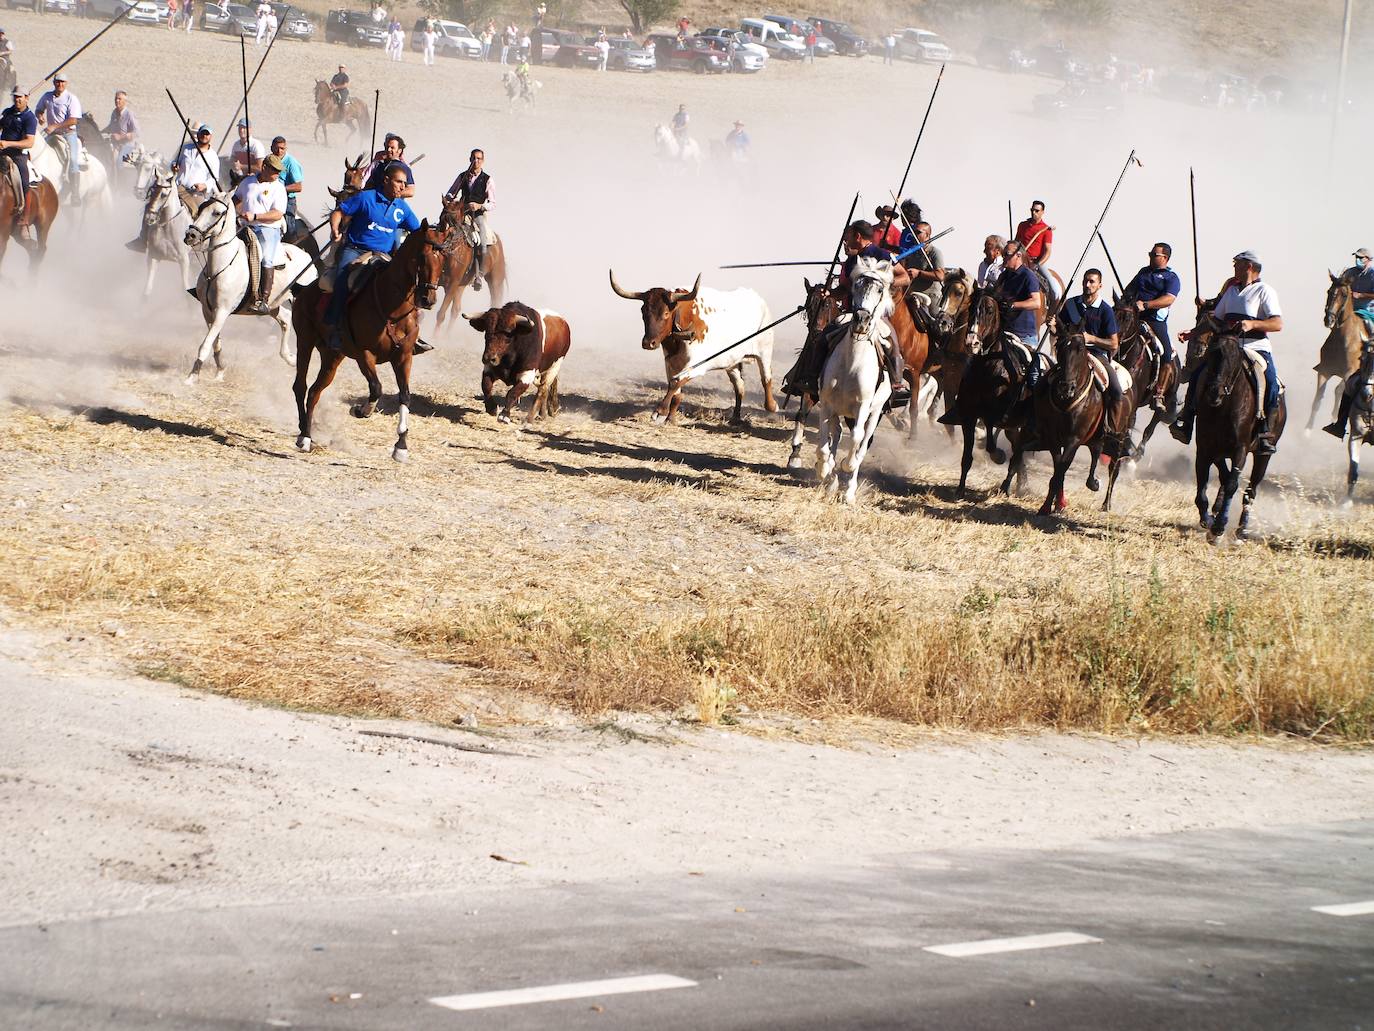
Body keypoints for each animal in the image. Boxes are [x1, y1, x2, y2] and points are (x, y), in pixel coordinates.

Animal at [181, 193, 317, 384]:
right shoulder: (207, 311)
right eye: (201, 208)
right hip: (273, 305)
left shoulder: (222, 311)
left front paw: (192, 376)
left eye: (217, 213)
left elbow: (206, 344)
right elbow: (215, 342)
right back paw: (290, 358)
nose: (191, 235)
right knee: (285, 320)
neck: (221, 265)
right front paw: (220, 371)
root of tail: (307, 256)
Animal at [289, 222, 450, 464]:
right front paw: (360, 410)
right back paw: (303, 436)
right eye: (422, 256)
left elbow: (405, 396)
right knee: (301, 385)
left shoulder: (403, 357)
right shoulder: (364, 354)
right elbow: (376, 388)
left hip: (332, 356)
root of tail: (305, 289)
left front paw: (401, 446)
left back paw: (308, 432)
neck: (391, 307)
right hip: (305, 341)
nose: (427, 299)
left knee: (315, 391)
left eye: (444, 258)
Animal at [434, 195, 505, 332]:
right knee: (456, 310)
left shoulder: (452, 284)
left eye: (455, 222)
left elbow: (441, 314)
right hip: (461, 284)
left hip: (495, 282)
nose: (443, 244)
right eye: (441, 219)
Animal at [610, 272, 780, 426]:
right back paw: (736, 417)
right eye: (643, 312)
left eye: (666, 313)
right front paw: (670, 418)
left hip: (765, 352)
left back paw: (771, 406)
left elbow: (675, 382)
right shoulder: (670, 363)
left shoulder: (698, 365)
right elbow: (676, 391)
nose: (648, 343)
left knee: (766, 378)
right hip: (731, 362)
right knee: (740, 386)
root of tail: (757, 298)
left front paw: (660, 411)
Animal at [807, 254, 895, 505]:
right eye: (857, 285)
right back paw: (831, 481)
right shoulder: (827, 404)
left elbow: (857, 439)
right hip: (839, 411)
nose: (862, 320)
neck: (852, 365)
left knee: (863, 442)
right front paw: (824, 469)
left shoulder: (863, 407)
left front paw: (848, 465)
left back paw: (848, 491)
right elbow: (824, 447)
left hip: (875, 413)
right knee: (835, 436)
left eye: (880, 289)